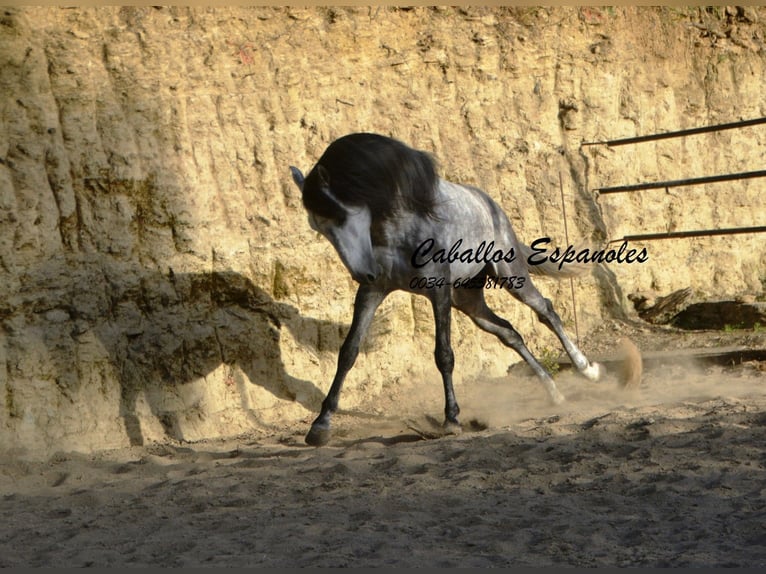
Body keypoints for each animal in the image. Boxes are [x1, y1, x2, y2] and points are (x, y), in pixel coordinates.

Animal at [292, 136, 604, 450]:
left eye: (341, 215)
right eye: (318, 226)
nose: (361, 272)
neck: (401, 224)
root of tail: (492, 206)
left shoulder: (437, 289)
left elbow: (444, 354)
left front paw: (452, 420)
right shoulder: (373, 290)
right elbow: (349, 351)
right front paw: (320, 426)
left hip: (509, 275)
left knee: (545, 310)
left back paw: (587, 370)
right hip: (467, 300)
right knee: (509, 332)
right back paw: (554, 392)